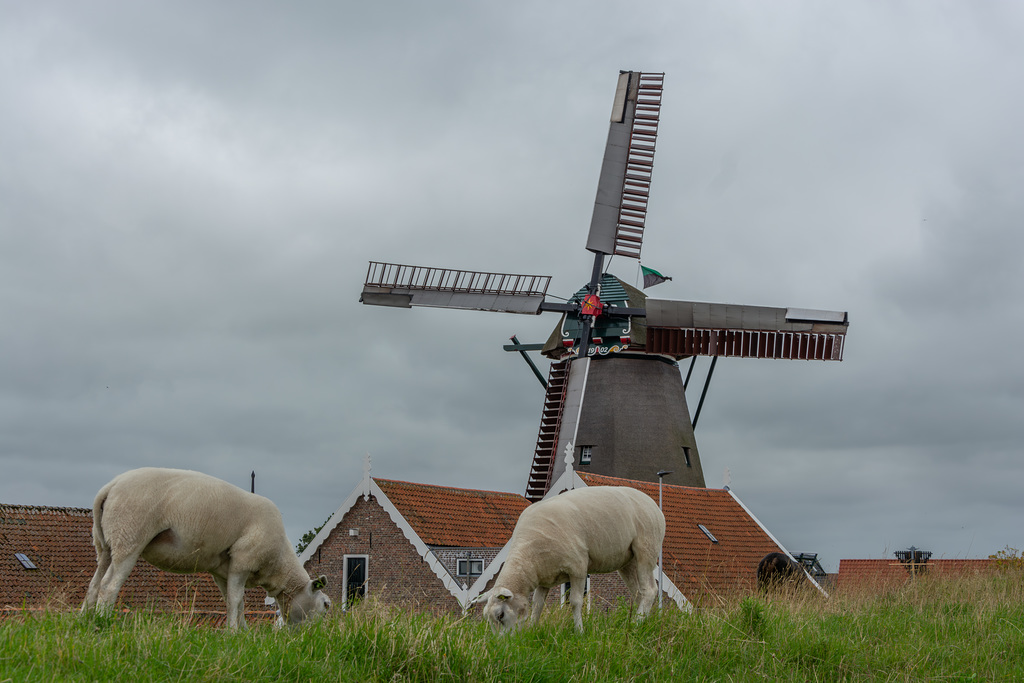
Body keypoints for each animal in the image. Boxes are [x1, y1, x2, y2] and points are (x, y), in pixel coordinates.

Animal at [84, 464, 331, 630]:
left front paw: (243, 632)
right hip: (130, 537)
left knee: (94, 584)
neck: (279, 562)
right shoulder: (243, 561)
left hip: (106, 543)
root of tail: (110, 487)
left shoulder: (223, 571)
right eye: (326, 604)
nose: (317, 637)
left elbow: (235, 603)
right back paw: (103, 621)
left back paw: (85, 621)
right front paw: (234, 633)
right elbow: (236, 601)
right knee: (108, 585)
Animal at [471, 485, 663, 634]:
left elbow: (576, 602)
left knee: (650, 590)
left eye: (500, 615)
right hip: (627, 562)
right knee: (639, 592)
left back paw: (637, 624)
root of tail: (652, 503)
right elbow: (538, 604)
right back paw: (642, 622)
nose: (502, 645)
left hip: (646, 550)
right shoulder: (544, 577)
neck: (528, 557)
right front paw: (532, 629)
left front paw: (579, 631)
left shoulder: (578, 568)